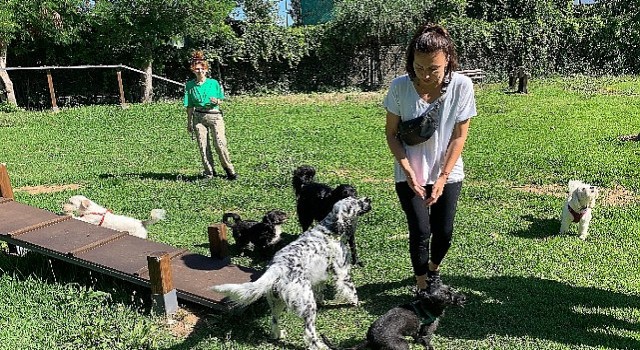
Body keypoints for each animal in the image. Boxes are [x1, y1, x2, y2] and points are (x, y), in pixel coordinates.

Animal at [211, 197, 370, 350]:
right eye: (355, 202)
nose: (368, 199)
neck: (329, 229)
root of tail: (277, 268)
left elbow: (321, 291)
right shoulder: (342, 271)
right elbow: (351, 291)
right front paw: (356, 303)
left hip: (276, 302)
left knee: (274, 322)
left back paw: (279, 335)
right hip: (308, 307)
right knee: (309, 334)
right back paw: (319, 346)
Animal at [324, 284, 464, 350]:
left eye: (451, 290)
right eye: (446, 297)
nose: (463, 297)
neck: (426, 306)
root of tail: (371, 338)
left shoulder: (417, 333)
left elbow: (417, 337)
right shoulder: (427, 332)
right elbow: (428, 342)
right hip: (401, 344)